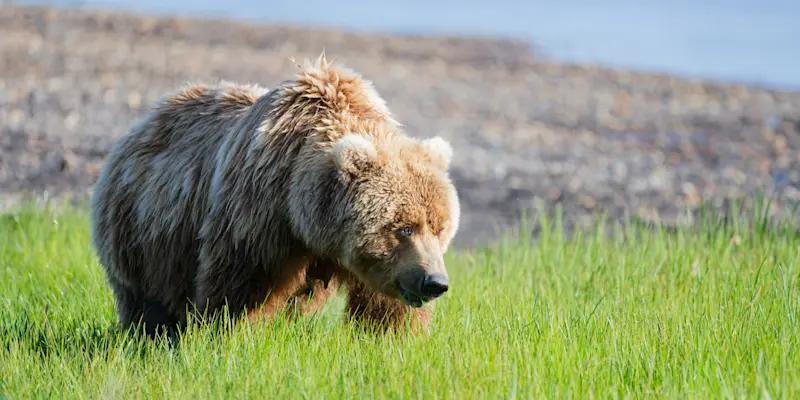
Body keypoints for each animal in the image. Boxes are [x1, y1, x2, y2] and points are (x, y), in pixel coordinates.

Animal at [89, 54, 461, 338]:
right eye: (403, 227)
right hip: (145, 230)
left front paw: (394, 338)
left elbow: (385, 306)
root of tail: (143, 121)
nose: (435, 282)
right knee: (146, 300)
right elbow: (240, 288)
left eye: (440, 227)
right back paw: (150, 333)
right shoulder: (259, 217)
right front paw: (232, 333)